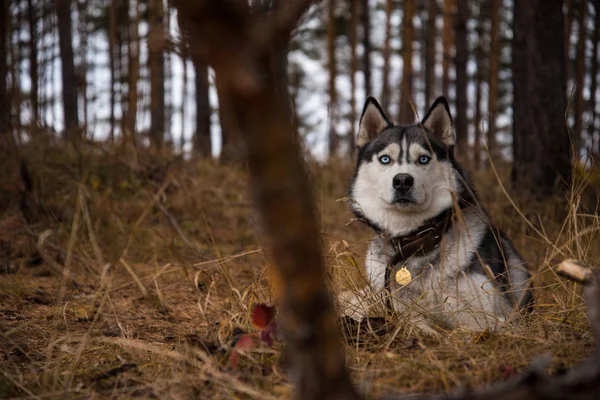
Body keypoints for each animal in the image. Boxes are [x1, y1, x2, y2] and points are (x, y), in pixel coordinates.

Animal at [350, 96, 532, 332]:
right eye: (385, 159)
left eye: (424, 159)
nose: (402, 180)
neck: (415, 242)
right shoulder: (399, 309)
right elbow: (417, 324)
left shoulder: (502, 317)